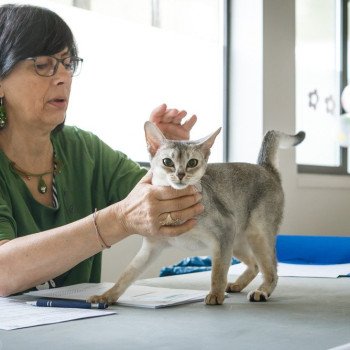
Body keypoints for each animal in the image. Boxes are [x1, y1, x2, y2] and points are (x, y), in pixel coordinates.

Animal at [89, 121, 304, 304]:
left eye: (192, 163)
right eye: (167, 161)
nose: (181, 174)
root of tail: (265, 168)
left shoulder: (224, 230)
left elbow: (218, 271)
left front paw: (216, 295)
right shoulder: (152, 247)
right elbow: (127, 274)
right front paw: (107, 296)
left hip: (255, 234)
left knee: (271, 270)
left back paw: (262, 291)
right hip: (236, 240)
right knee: (255, 264)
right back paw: (236, 285)